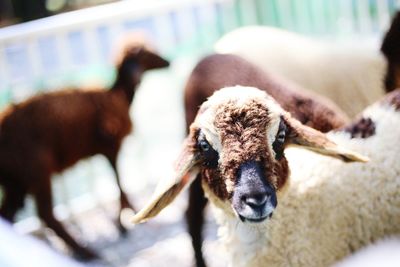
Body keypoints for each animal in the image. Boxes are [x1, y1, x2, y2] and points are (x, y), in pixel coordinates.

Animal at [0, 39, 170, 260]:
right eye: (148, 54)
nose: (168, 61)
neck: (118, 95)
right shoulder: (111, 147)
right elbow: (119, 181)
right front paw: (124, 220)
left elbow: (119, 181)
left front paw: (126, 216)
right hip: (36, 169)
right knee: (46, 214)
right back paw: (87, 252)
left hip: (16, 181)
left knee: (8, 214)